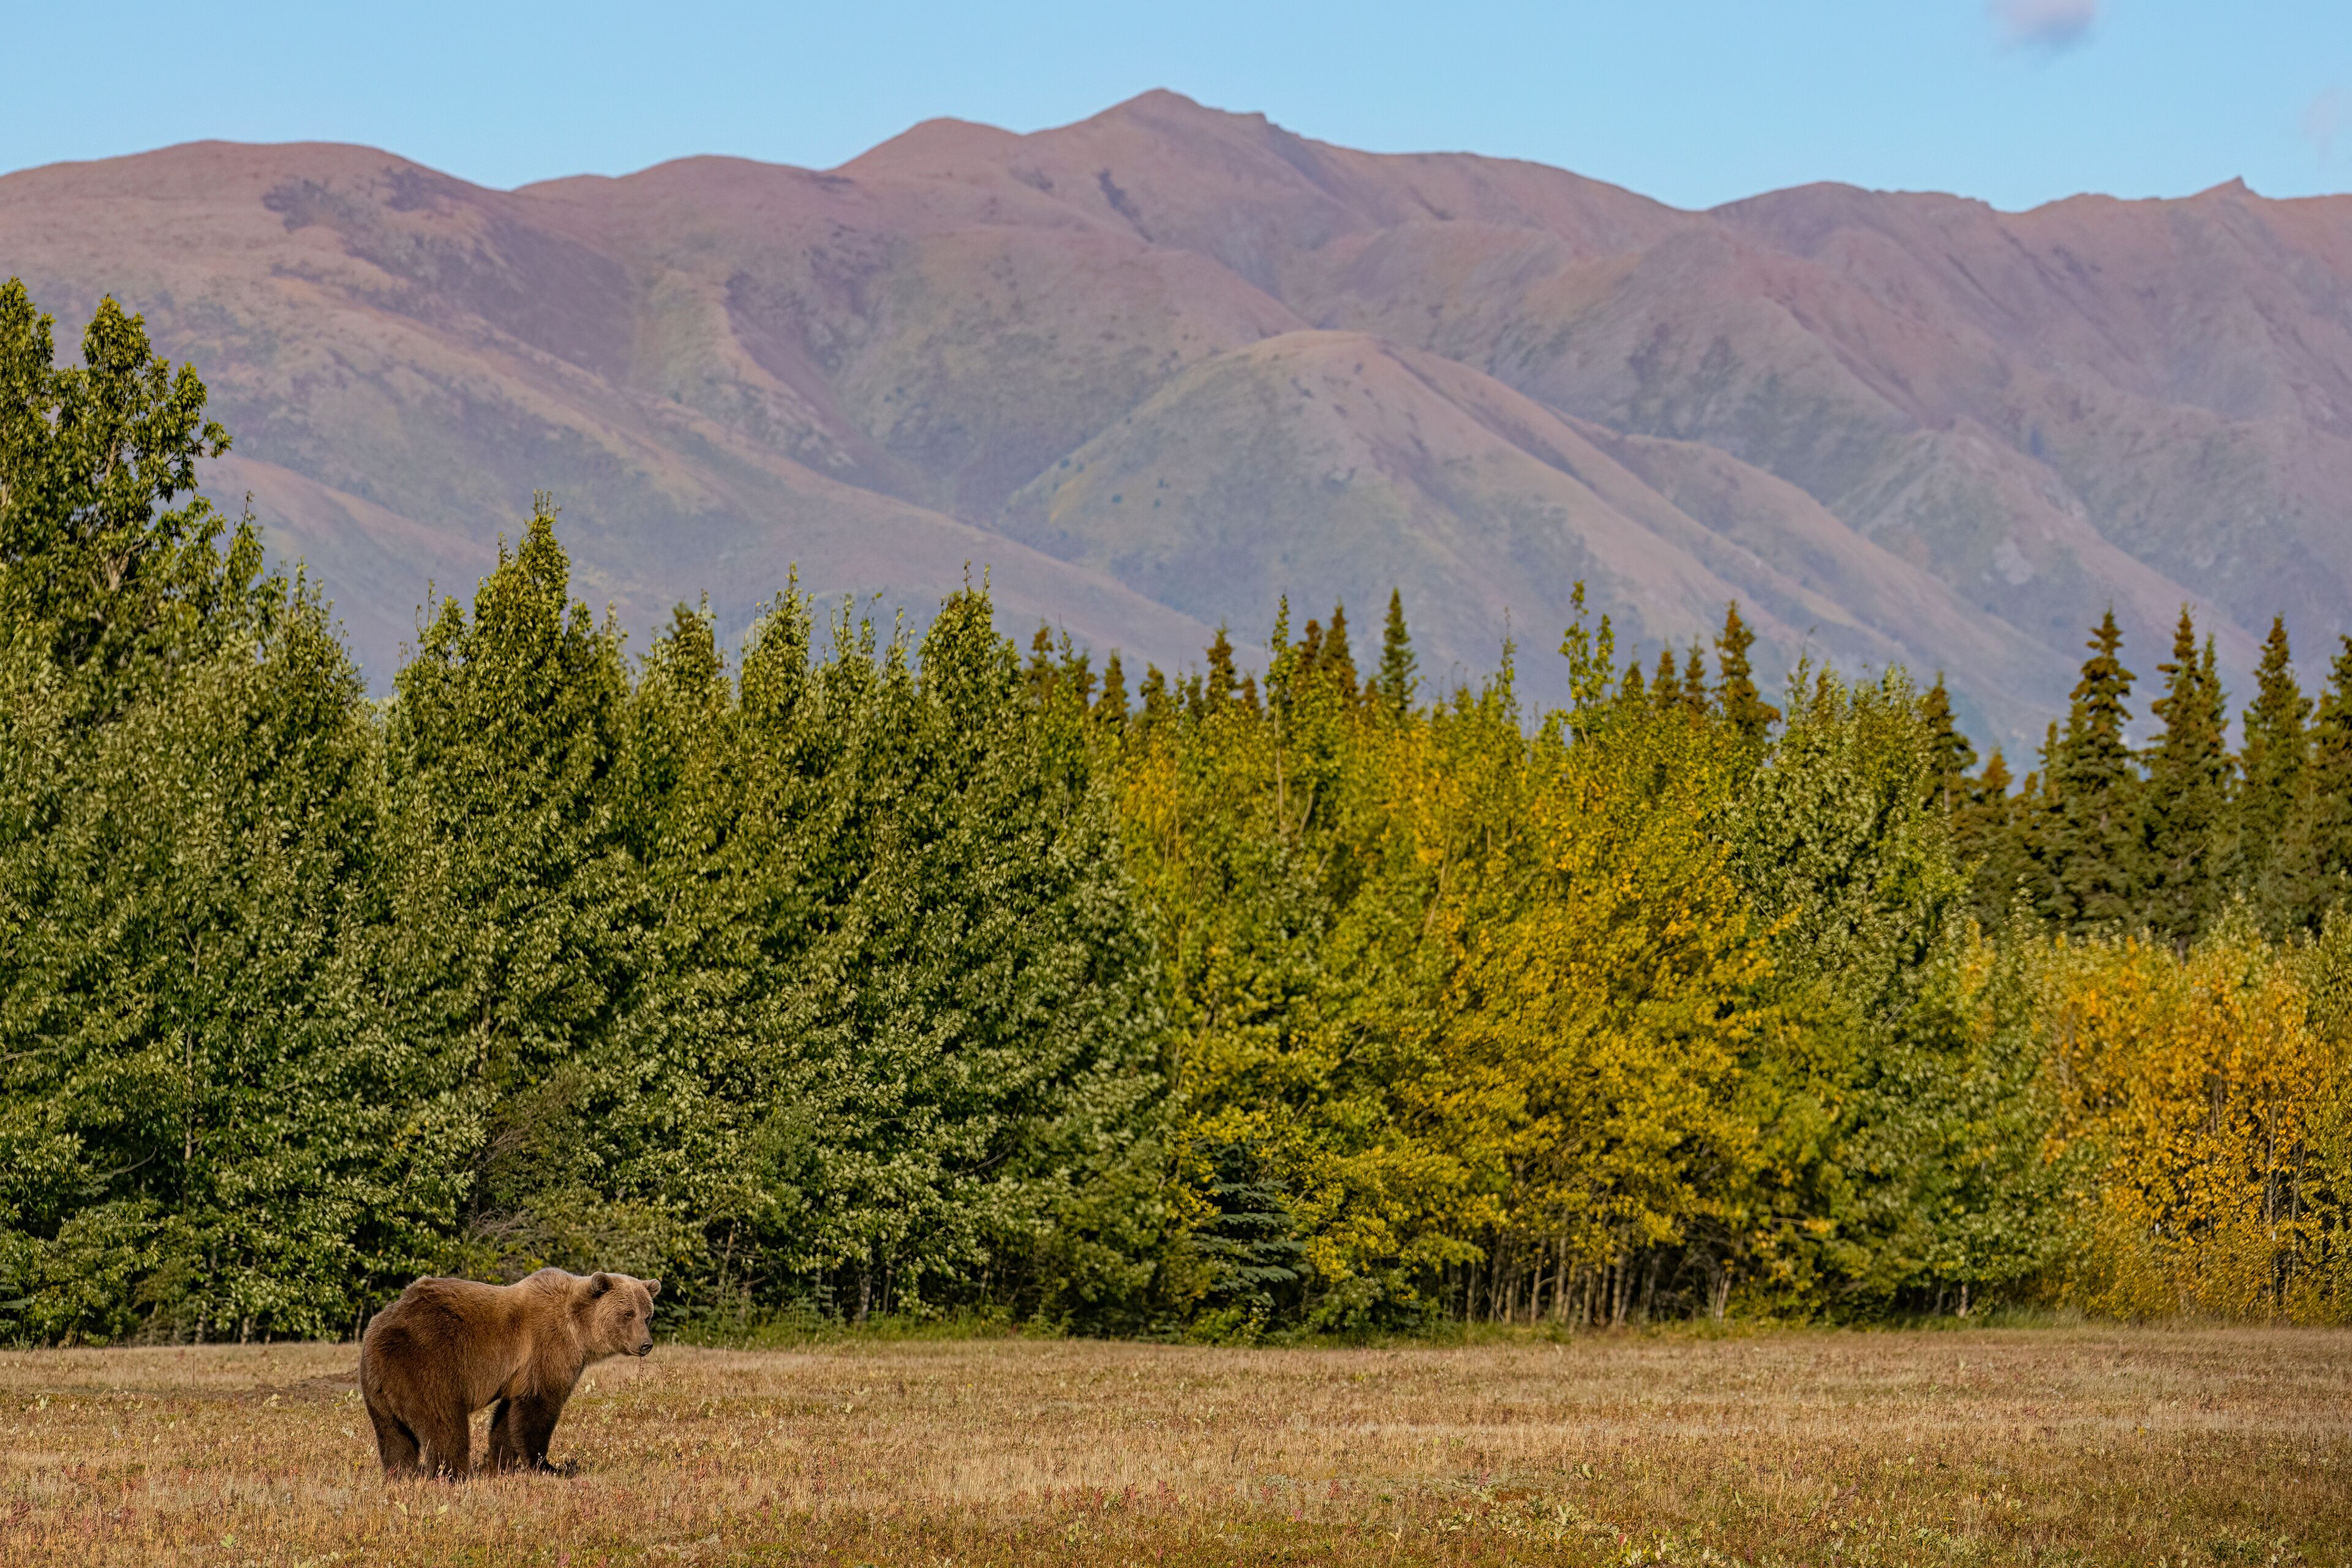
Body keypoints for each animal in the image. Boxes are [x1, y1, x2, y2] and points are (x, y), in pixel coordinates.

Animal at [358, 1267, 661, 1478]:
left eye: (647, 1315)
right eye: (627, 1314)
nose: (646, 1344)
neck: (577, 1330)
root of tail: (381, 1331)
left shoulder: (519, 1376)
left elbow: (507, 1419)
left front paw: (501, 1464)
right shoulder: (547, 1351)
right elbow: (538, 1411)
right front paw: (547, 1466)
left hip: (379, 1388)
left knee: (394, 1437)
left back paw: (401, 1475)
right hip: (429, 1364)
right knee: (444, 1424)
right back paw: (454, 1474)